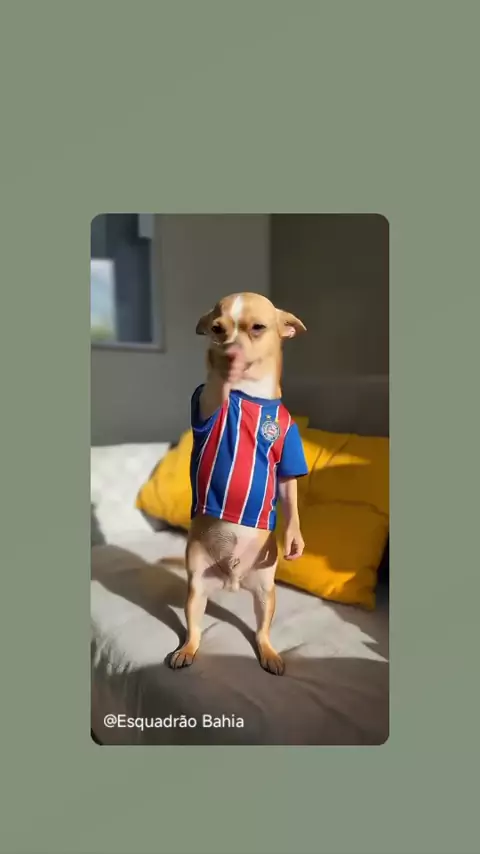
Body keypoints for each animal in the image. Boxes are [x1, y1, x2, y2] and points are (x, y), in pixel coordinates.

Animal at [168, 293, 307, 675]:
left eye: (257, 328)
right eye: (217, 329)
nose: (228, 348)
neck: (252, 395)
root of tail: (232, 581)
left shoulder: (288, 455)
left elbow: (289, 493)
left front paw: (294, 536)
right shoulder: (206, 400)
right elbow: (215, 388)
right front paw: (221, 367)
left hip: (264, 591)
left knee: (261, 631)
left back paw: (270, 653)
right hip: (197, 588)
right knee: (194, 628)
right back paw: (186, 650)